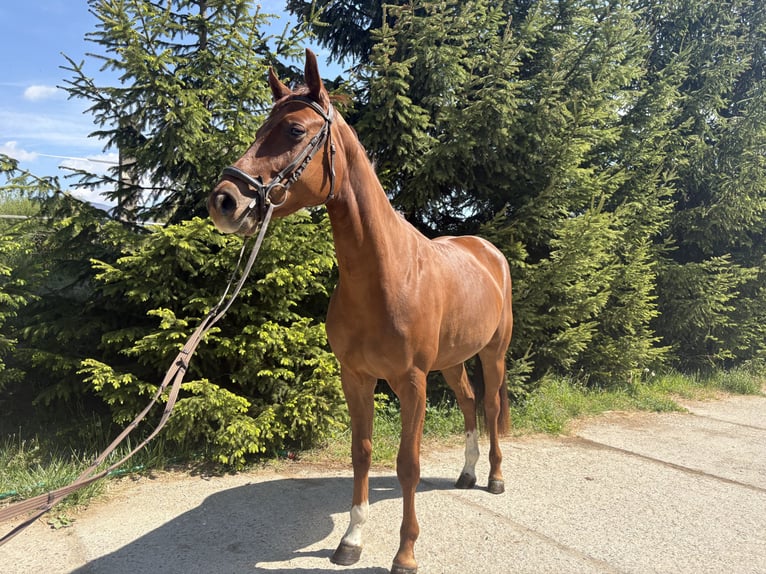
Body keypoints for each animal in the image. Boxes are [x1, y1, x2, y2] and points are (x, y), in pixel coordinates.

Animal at [208, 49, 513, 574]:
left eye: (294, 130)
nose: (225, 200)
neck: (385, 274)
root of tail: (488, 251)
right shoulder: (356, 376)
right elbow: (362, 453)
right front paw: (350, 540)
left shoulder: (411, 382)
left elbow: (408, 464)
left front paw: (405, 552)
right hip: (452, 361)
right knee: (471, 403)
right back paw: (467, 473)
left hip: (492, 352)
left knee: (491, 405)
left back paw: (494, 478)